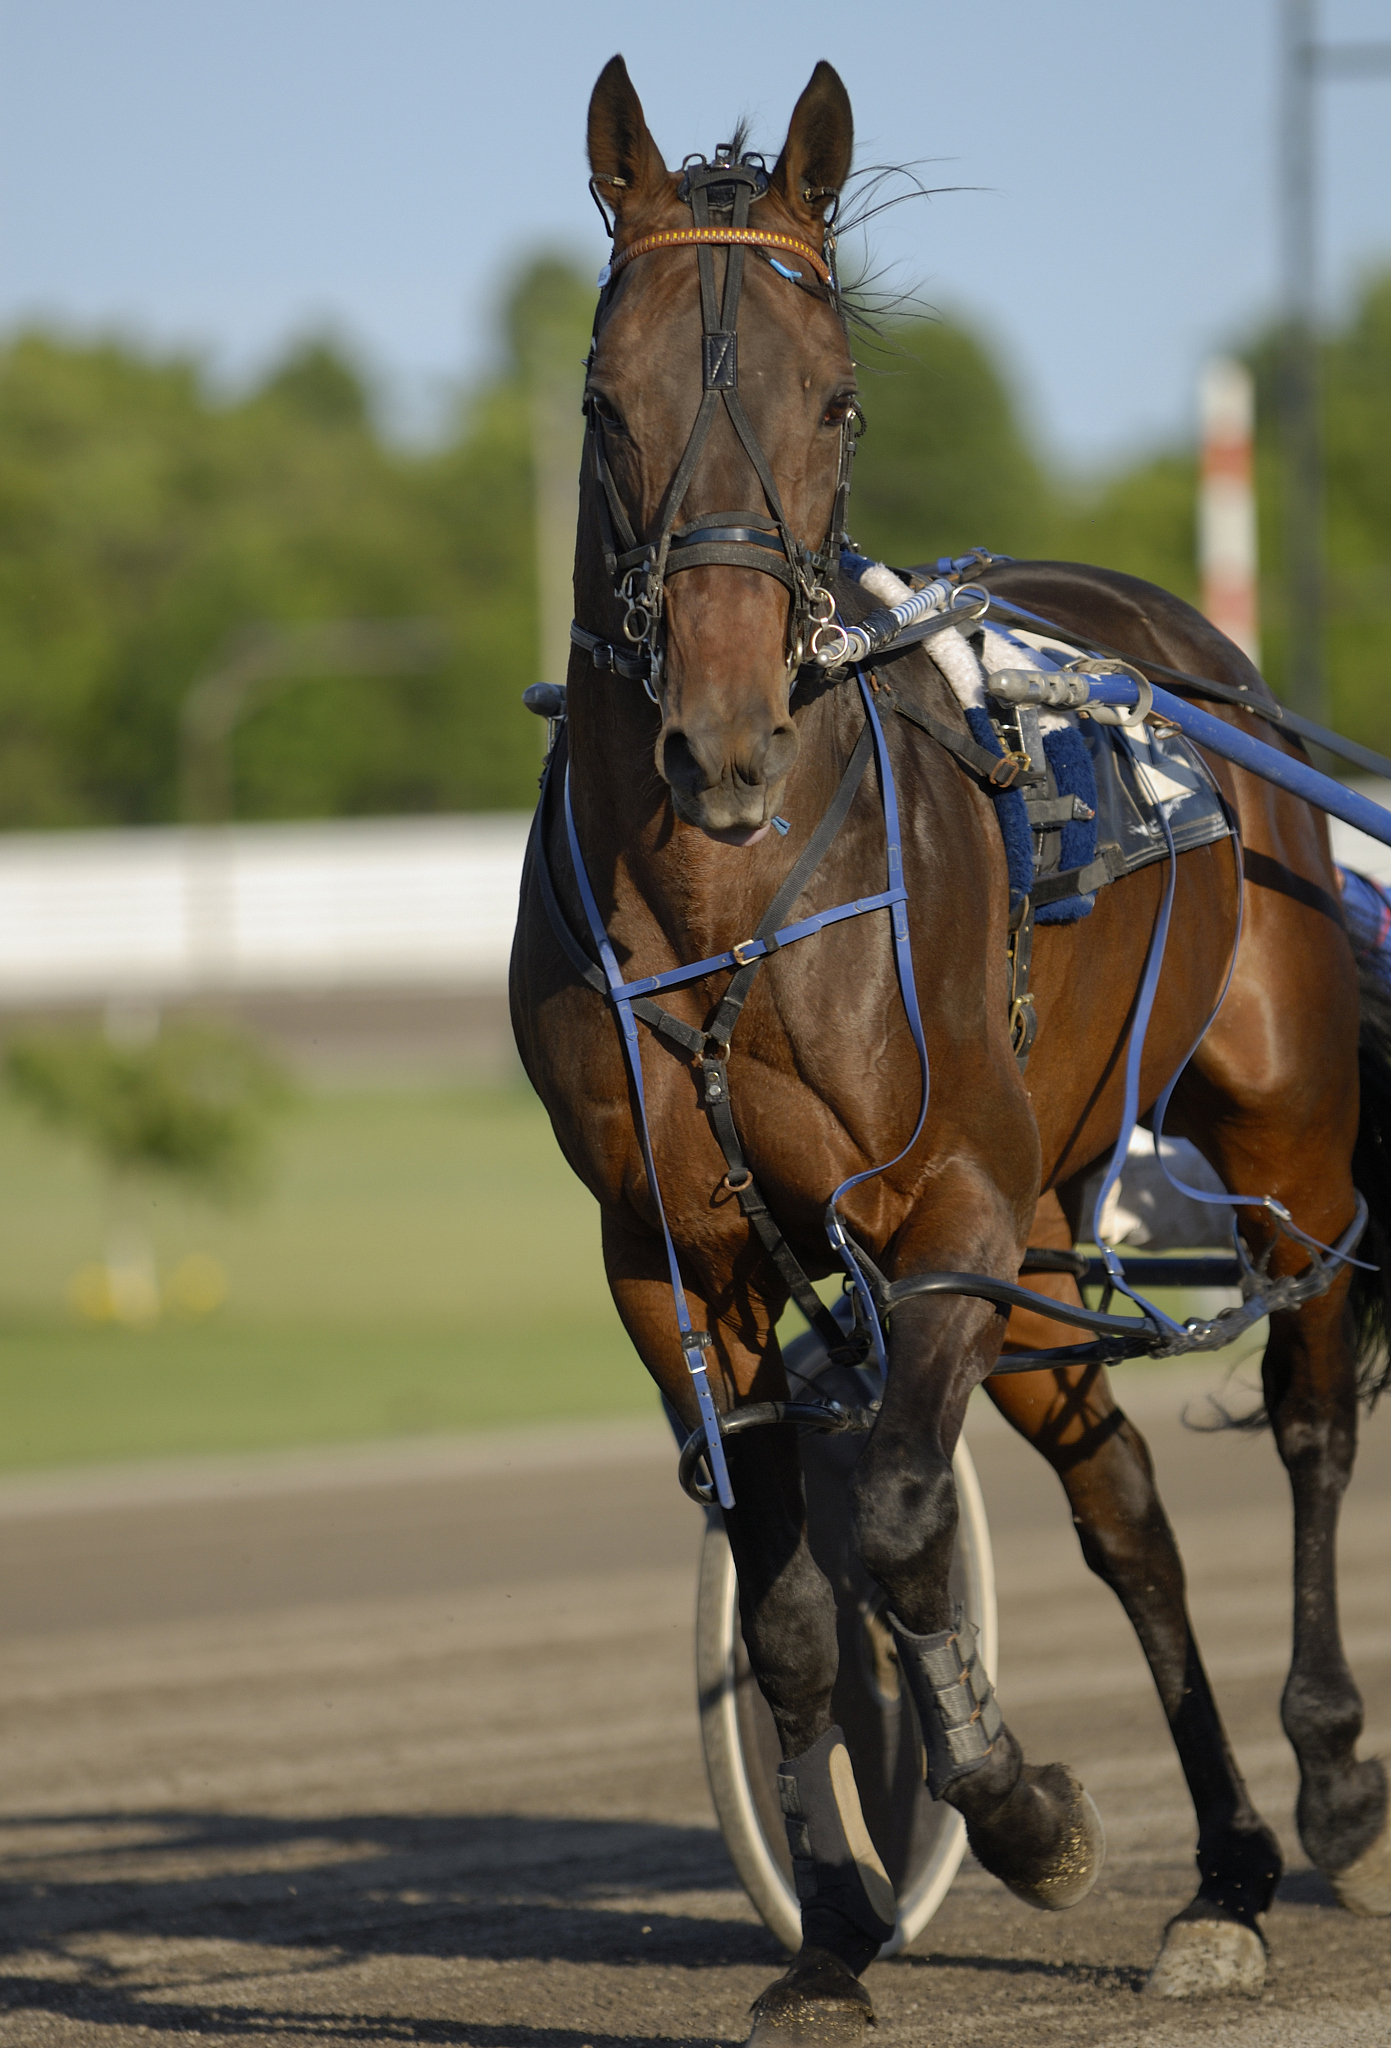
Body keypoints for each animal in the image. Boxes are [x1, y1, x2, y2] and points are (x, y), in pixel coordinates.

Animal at [509, 55, 1391, 2044]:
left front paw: (1028, 1810)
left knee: (1307, 1411)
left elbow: (901, 1516)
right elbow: (786, 1608)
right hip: (1056, 1228)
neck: (729, 897)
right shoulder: (667, 1255)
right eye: (605, 403)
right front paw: (831, 1936)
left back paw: (1326, 1786)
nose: (723, 742)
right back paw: (1223, 1876)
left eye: (835, 398)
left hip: (1277, 1130)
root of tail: (1193, 655)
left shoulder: (952, 1206)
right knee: (1121, 1496)